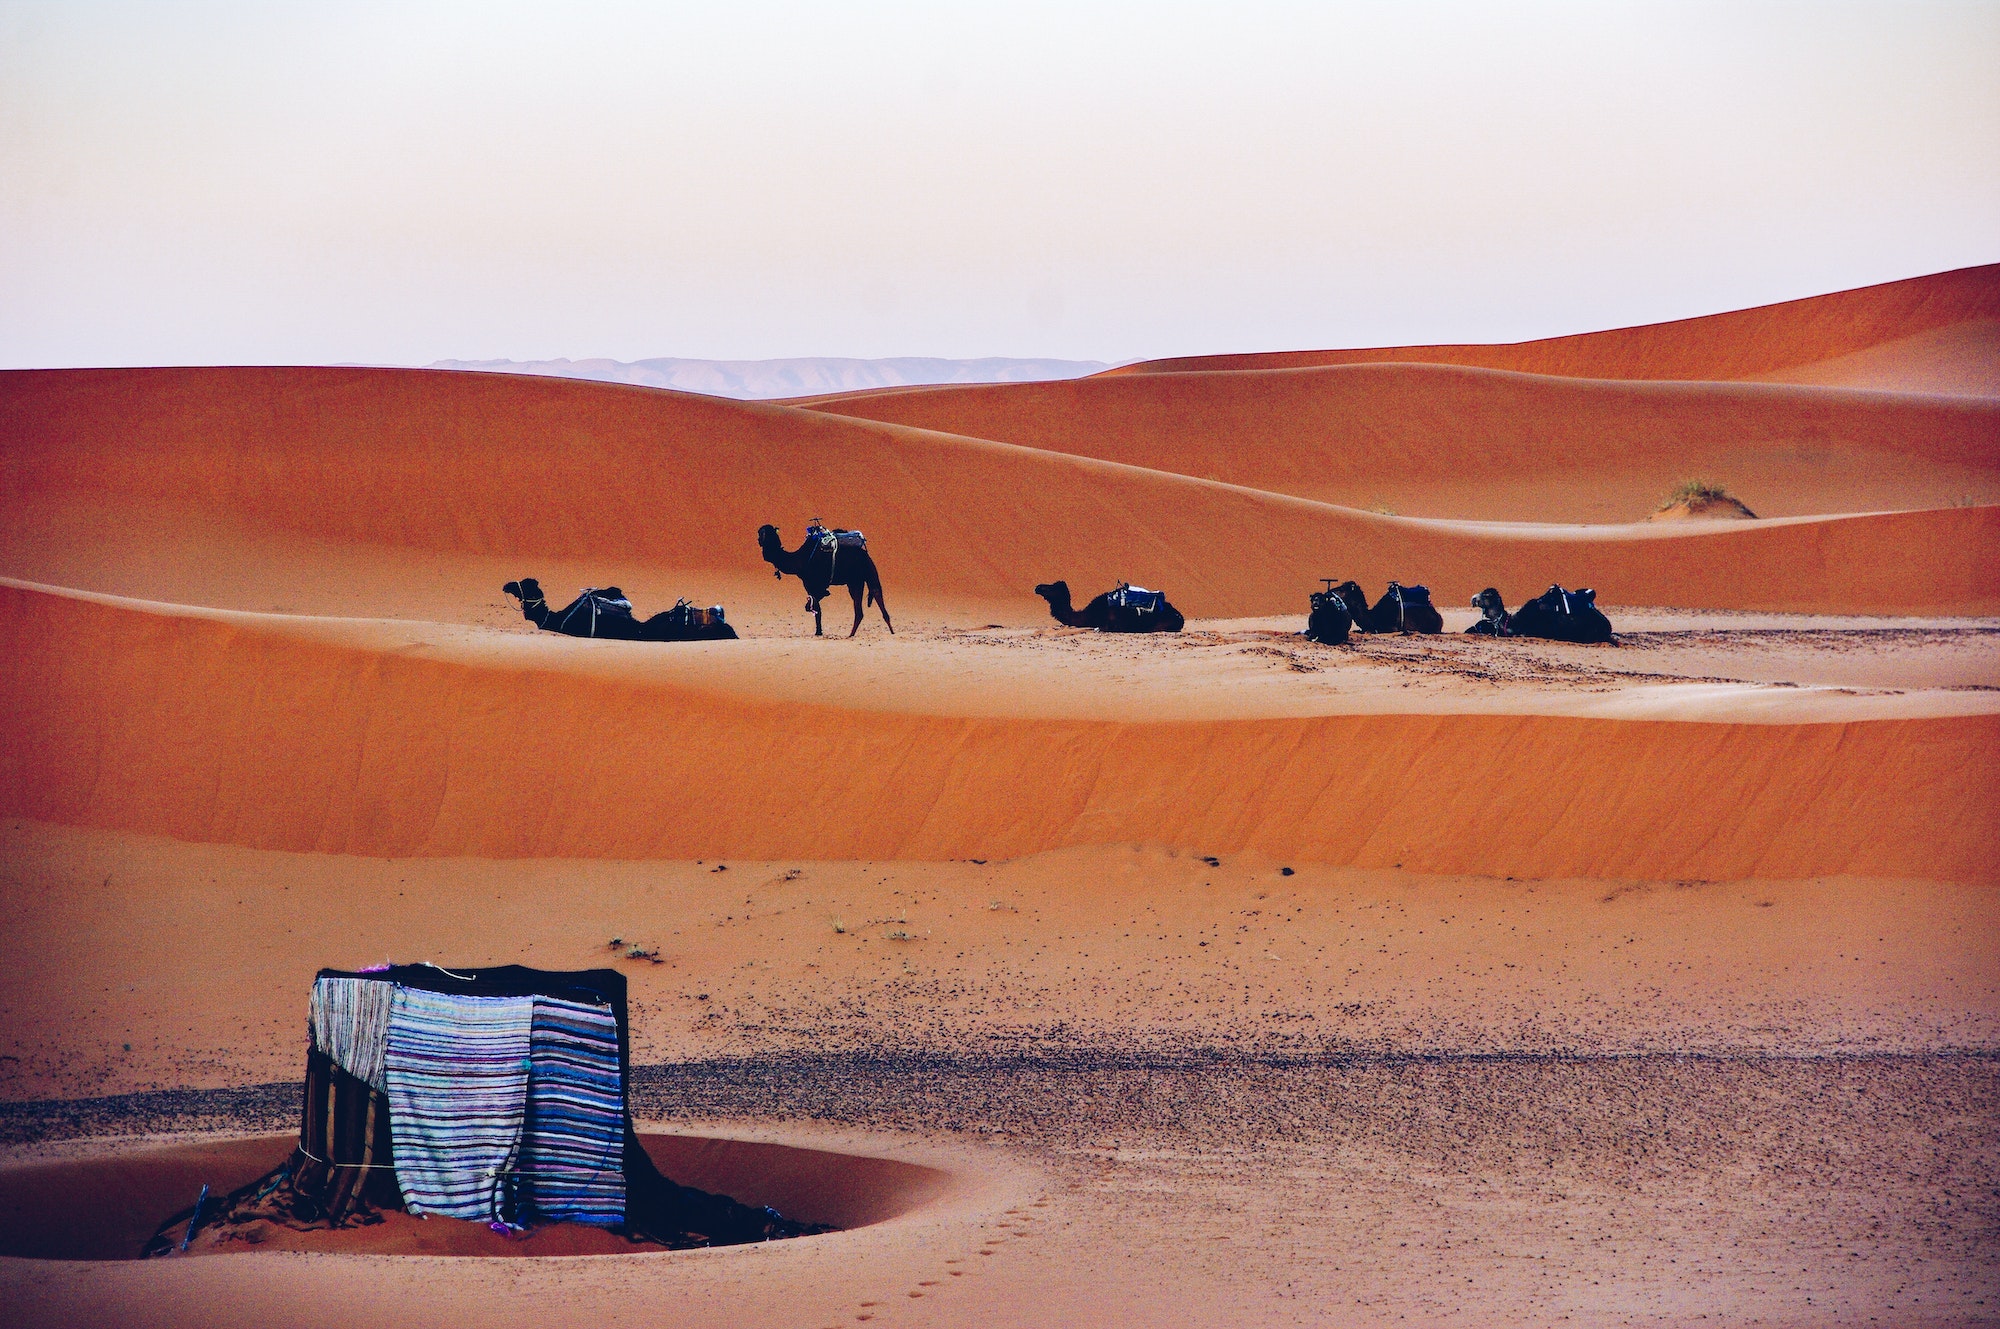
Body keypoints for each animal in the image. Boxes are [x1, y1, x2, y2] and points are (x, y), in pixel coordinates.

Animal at [756, 524, 900, 640]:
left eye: (761, 534)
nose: (758, 540)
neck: (799, 560)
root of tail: (866, 554)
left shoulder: (812, 583)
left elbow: (815, 606)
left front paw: (818, 631)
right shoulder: (813, 585)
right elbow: (816, 607)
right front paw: (818, 631)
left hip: (865, 574)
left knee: (874, 593)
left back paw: (888, 632)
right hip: (856, 581)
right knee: (862, 607)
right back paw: (854, 634)